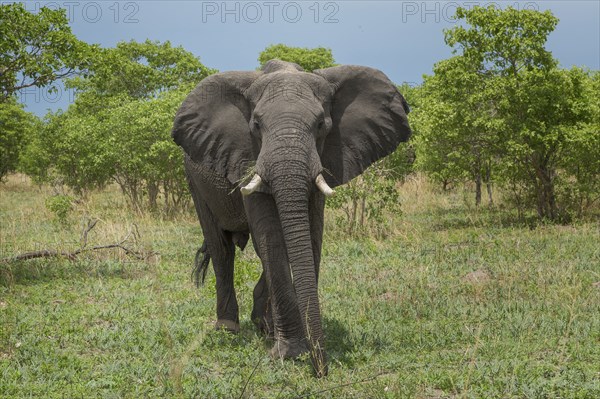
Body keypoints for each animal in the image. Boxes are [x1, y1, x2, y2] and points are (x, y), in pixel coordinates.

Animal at [171, 59, 410, 378]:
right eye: (256, 126)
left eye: (321, 125)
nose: (322, 370)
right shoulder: (246, 155)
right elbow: (271, 236)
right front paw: (291, 353)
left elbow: (310, 235)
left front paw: (290, 345)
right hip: (195, 182)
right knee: (221, 249)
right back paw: (229, 329)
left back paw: (264, 326)